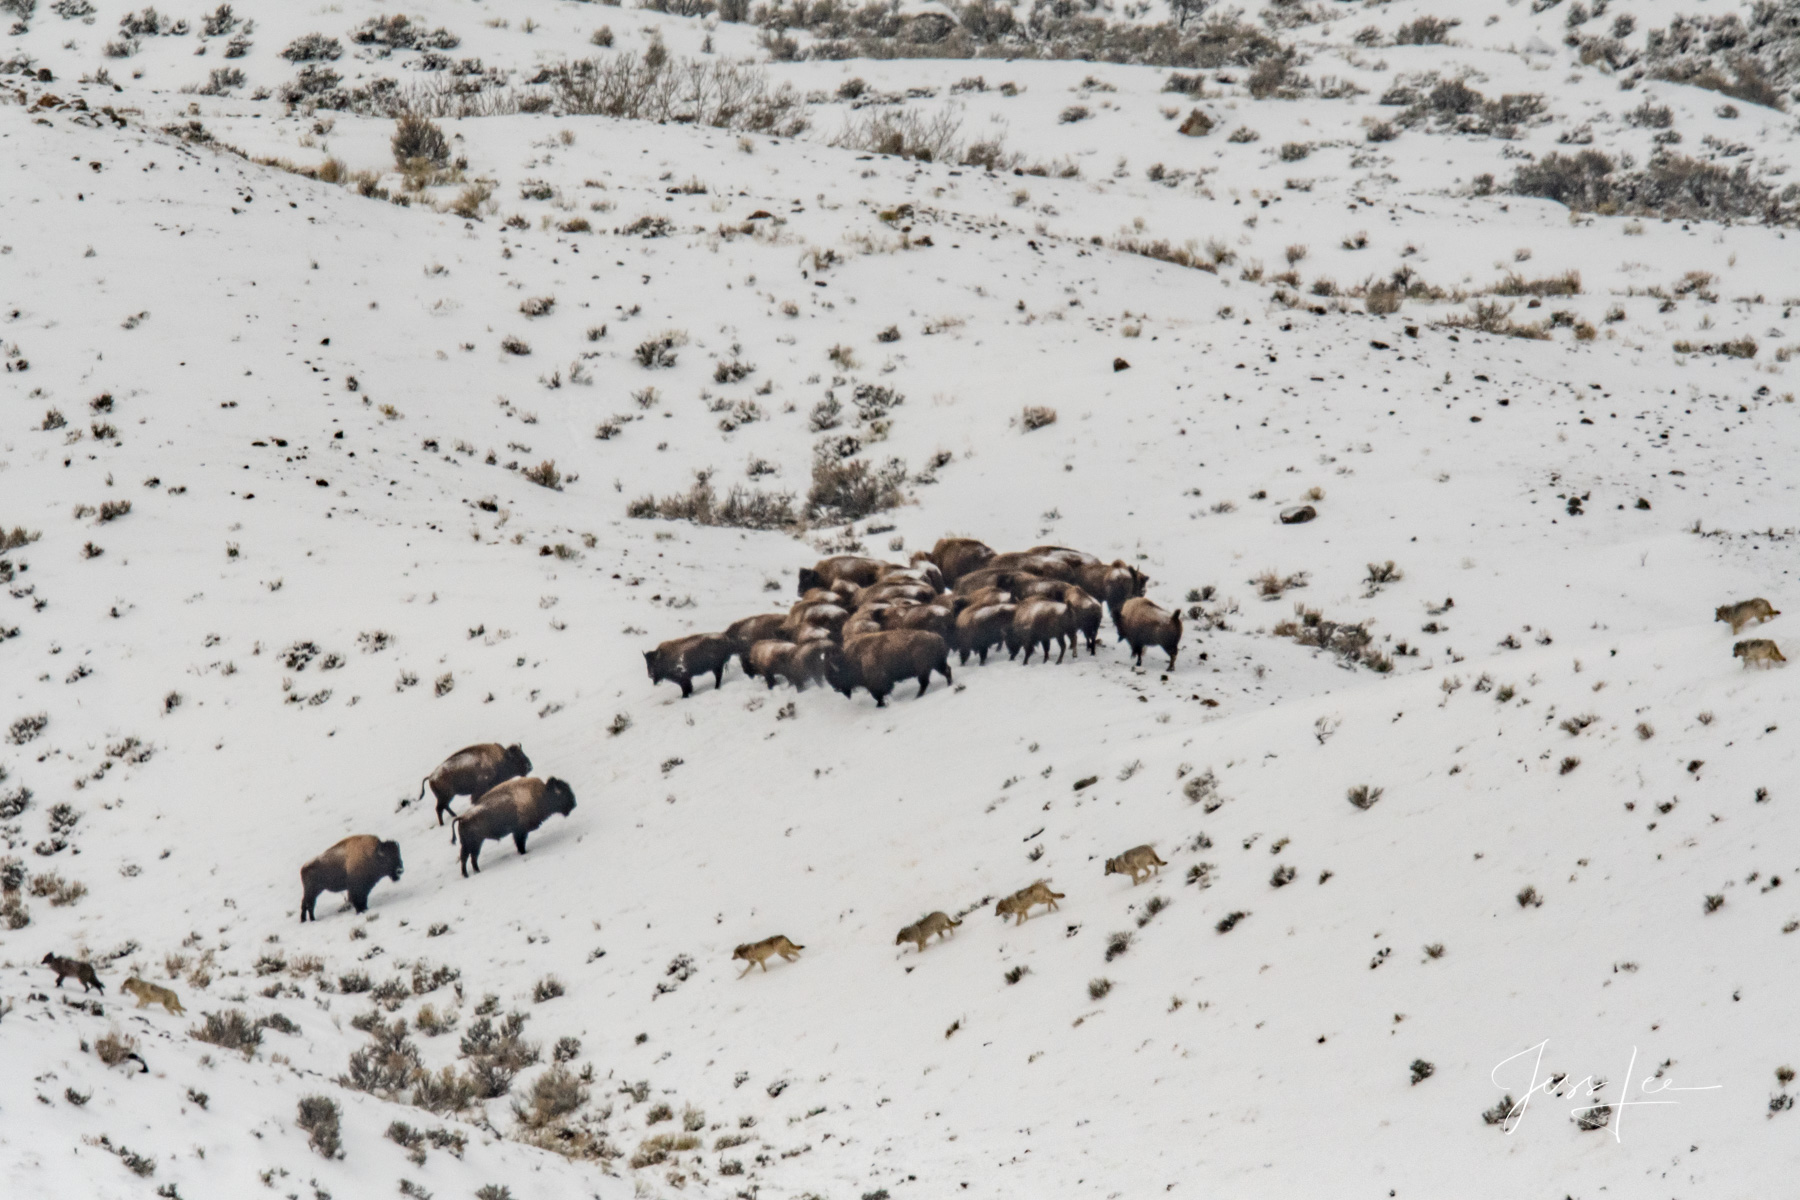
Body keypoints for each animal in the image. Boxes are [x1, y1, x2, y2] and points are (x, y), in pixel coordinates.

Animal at [828, 629, 957, 705]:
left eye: (836, 675)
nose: (835, 689)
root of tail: (937, 637)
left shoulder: (878, 683)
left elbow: (879, 695)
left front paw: (880, 705)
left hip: (925, 669)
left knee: (924, 682)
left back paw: (917, 696)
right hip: (937, 665)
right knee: (946, 671)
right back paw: (948, 684)